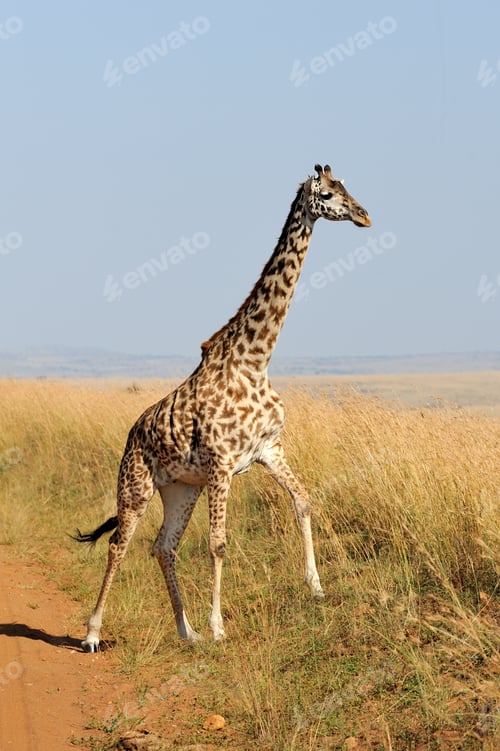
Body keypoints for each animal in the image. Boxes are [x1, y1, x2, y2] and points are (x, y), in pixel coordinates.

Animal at [75, 164, 371, 650]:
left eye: (348, 187)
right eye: (328, 194)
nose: (364, 215)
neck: (256, 360)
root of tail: (132, 434)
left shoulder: (269, 449)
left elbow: (304, 501)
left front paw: (316, 587)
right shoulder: (221, 463)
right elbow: (218, 543)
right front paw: (219, 627)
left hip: (181, 488)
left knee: (163, 546)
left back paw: (186, 630)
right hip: (136, 485)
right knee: (120, 543)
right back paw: (94, 633)